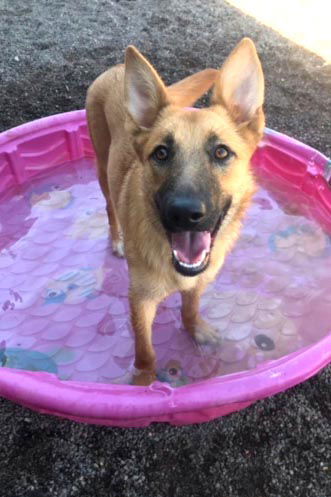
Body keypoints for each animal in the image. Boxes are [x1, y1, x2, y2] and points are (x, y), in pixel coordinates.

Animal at [87, 39, 266, 388]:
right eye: (161, 153)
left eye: (221, 152)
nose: (184, 213)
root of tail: (117, 69)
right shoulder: (140, 300)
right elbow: (145, 350)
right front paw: (144, 381)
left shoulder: (199, 281)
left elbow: (190, 309)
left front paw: (196, 329)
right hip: (102, 168)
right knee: (109, 207)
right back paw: (116, 240)